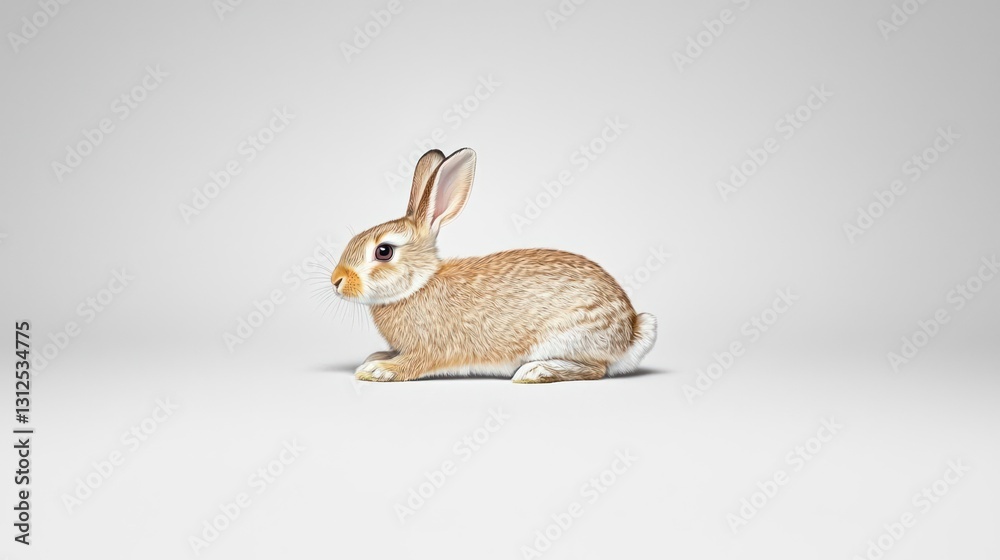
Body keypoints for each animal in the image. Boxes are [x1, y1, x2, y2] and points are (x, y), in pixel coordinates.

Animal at [330, 148, 657, 383]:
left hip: (568, 336)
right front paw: (376, 357)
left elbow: (414, 363)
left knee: (596, 369)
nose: (336, 281)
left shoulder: (435, 348)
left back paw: (535, 372)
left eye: (384, 251)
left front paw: (377, 370)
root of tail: (630, 331)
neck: (419, 285)